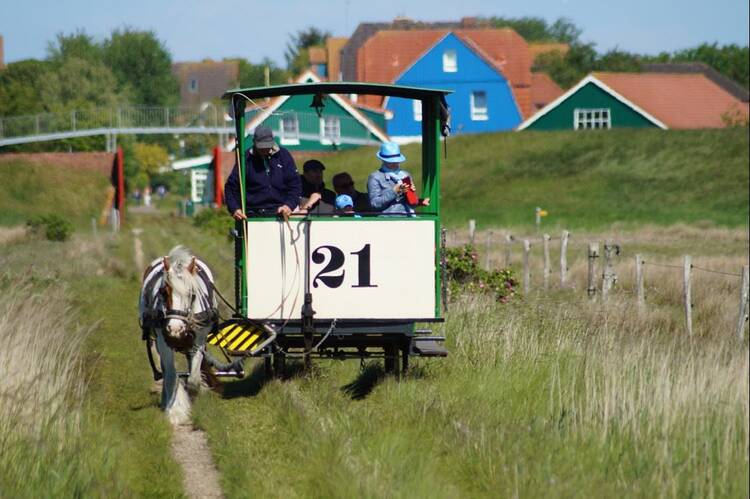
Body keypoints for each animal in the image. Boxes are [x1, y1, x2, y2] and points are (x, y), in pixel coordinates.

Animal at [139, 246, 222, 426]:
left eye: (192, 294)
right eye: (164, 292)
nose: (175, 329)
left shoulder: (198, 341)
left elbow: (193, 380)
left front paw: (192, 398)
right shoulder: (163, 342)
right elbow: (170, 374)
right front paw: (175, 410)